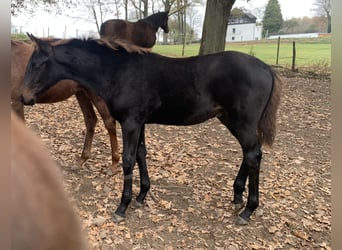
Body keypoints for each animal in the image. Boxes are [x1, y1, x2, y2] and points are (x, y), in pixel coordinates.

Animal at [11, 39, 120, 172]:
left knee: (109, 122)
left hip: (95, 95)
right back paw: (81, 160)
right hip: (81, 93)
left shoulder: (16, 102)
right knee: (91, 120)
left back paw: (113, 165)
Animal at [22, 34, 284, 225]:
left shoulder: (130, 122)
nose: (24, 97)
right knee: (250, 154)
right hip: (230, 119)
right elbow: (141, 154)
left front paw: (122, 207)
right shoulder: (140, 123)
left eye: (37, 64)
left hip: (242, 121)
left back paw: (248, 210)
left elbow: (128, 160)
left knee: (253, 154)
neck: (118, 72)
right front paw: (141, 196)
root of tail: (266, 68)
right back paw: (237, 196)